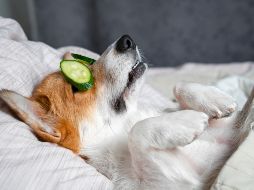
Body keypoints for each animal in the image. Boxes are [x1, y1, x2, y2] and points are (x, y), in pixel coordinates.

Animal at [0, 35, 254, 189]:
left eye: (89, 63)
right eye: (77, 87)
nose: (126, 40)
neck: (123, 123)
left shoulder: (229, 129)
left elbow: (179, 86)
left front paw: (217, 100)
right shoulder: (175, 183)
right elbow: (138, 132)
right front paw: (187, 120)